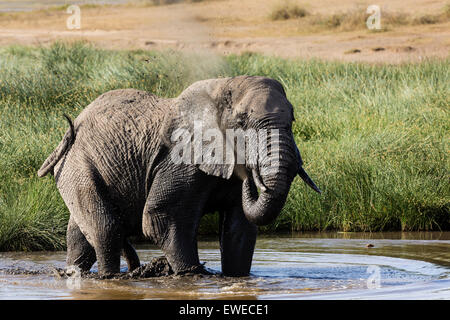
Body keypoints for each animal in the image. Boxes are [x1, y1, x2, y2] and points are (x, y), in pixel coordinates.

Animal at [38, 75, 320, 278]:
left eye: (292, 120)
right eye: (242, 122)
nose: (252, 176)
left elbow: (239, 229)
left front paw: (238, 278)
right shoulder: (180, 159)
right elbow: (163, 219)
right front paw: (192, 275)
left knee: (80, 237)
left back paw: (75, 273)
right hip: (79, 166)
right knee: (106, 229)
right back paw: (109, 278)